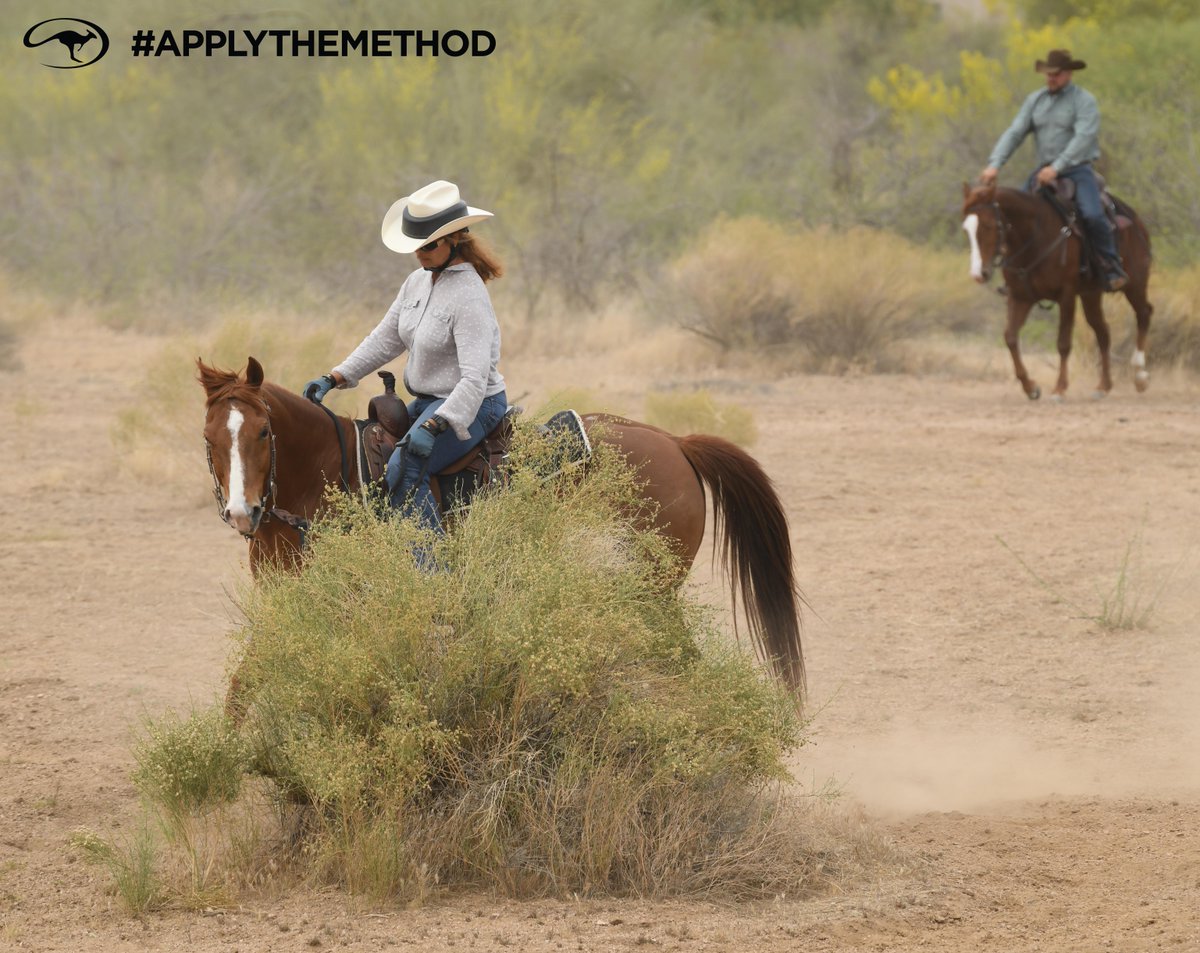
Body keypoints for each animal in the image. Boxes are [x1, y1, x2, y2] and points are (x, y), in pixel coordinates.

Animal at [198, 357, 806, 699]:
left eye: (262, 433)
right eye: (209, 437)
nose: (243, 513)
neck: (333, 475)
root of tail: (675, 442)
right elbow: (249, 681)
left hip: (650, 590)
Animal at [961, 183, 1153, 400]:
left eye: (988, 225)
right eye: (966, 229)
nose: (979, 274)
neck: (1034, 239)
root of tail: (1136, 221)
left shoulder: (1066, 296)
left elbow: (1063, 343)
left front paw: (1059, 389)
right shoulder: (1020, 297)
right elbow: (1010, 337)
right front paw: (1030, 387)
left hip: (1135, 283)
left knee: (1144, 314)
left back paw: (1140, 376)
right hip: (1090, 295)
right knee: (1103, 333)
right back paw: (1103, 386)